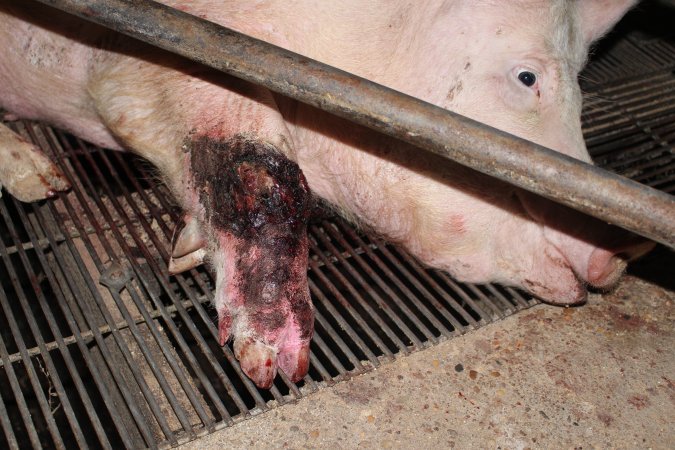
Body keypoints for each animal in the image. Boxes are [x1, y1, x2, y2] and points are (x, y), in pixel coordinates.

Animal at [1, 0, 656, 386]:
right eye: (527, 77)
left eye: (583, 88)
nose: (623, 250)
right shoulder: (168, 39)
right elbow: (270, 169)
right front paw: (275, 362)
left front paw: (185, 253)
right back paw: (41, 181)